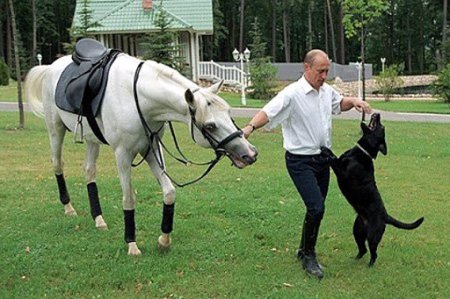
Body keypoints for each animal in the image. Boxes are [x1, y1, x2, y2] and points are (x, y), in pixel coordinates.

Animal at [24, 53, 258, 255]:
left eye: (229, 113)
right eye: (210, 126)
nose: (250, 153)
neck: (139, 100)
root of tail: (51, 67)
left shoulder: (150, 149)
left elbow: (169, 192)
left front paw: (164, 240)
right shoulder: (123, 154)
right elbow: (129, 199)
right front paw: (132, 244)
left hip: (92, 140)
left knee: (89, 172)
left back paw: (99, 219)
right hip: (55, 130)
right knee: (57, 164)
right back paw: (69, 208)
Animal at [322, 113, 424, 268]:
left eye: (381, 127)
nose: (378, 114)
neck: (360, 152)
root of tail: (385, 216)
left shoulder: (342, 172)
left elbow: (333, 159)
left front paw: (325, 152)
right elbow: (334, 156)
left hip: (372, 235)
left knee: (373, 253)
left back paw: (370, 265)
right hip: (357, 231)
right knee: (363, 249)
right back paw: (354, 260)